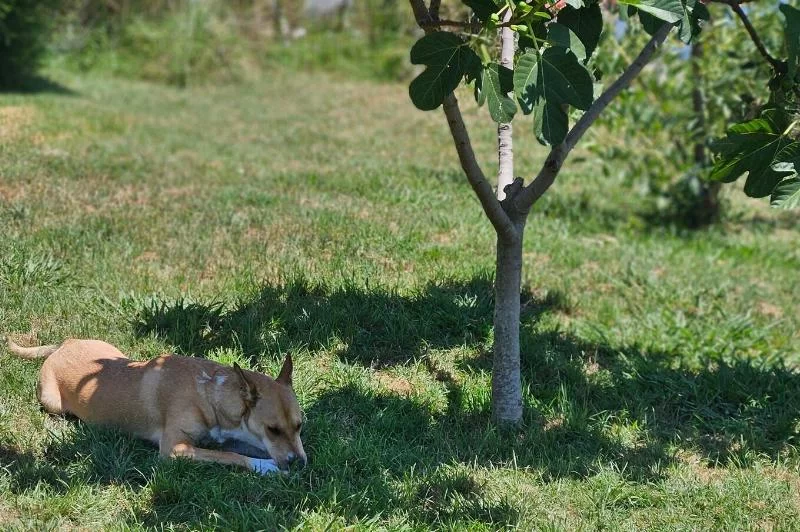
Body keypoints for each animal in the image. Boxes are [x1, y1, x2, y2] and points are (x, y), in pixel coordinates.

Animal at [5, 336, 306, 474]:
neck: (210, 393)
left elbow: (240, 447)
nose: (301, 464)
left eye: (299, 425)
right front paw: (267, 467)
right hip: (52, 401)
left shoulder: (231, 434)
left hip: (114, 354)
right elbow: (232, 456)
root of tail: (64, 344)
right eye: (272, 429)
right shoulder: (174, 449)